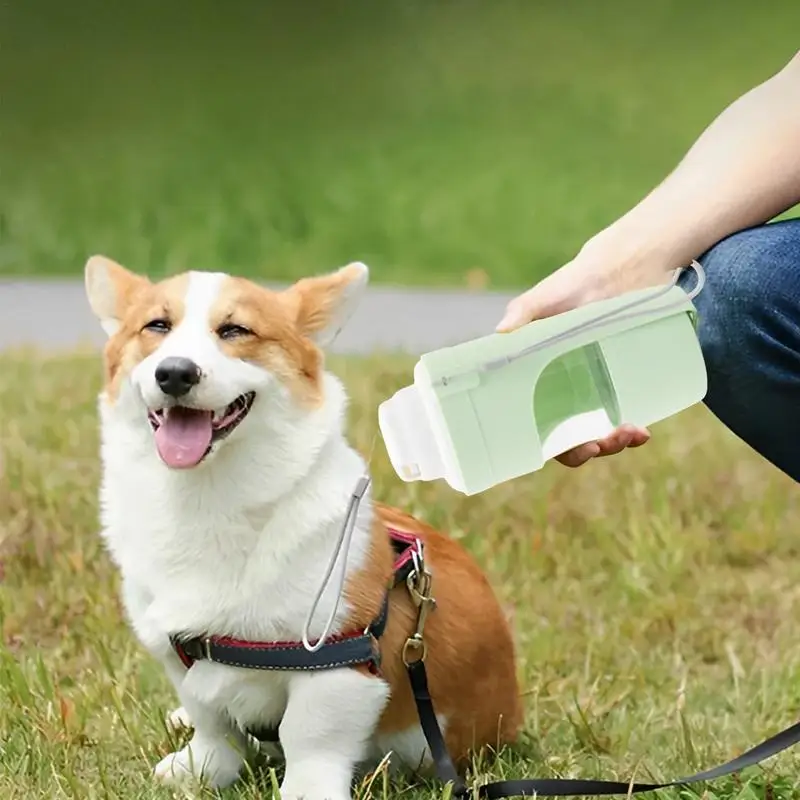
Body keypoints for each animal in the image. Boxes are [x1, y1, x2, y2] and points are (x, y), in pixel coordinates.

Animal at [84, 258, 520, 800]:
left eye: (235, 330)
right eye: (157, 326)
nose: (175, 373)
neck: (208, 498)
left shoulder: (337, 665)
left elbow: (309, 737)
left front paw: (303, 789)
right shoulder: (176, 650)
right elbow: (213, 723)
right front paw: (201, 768)